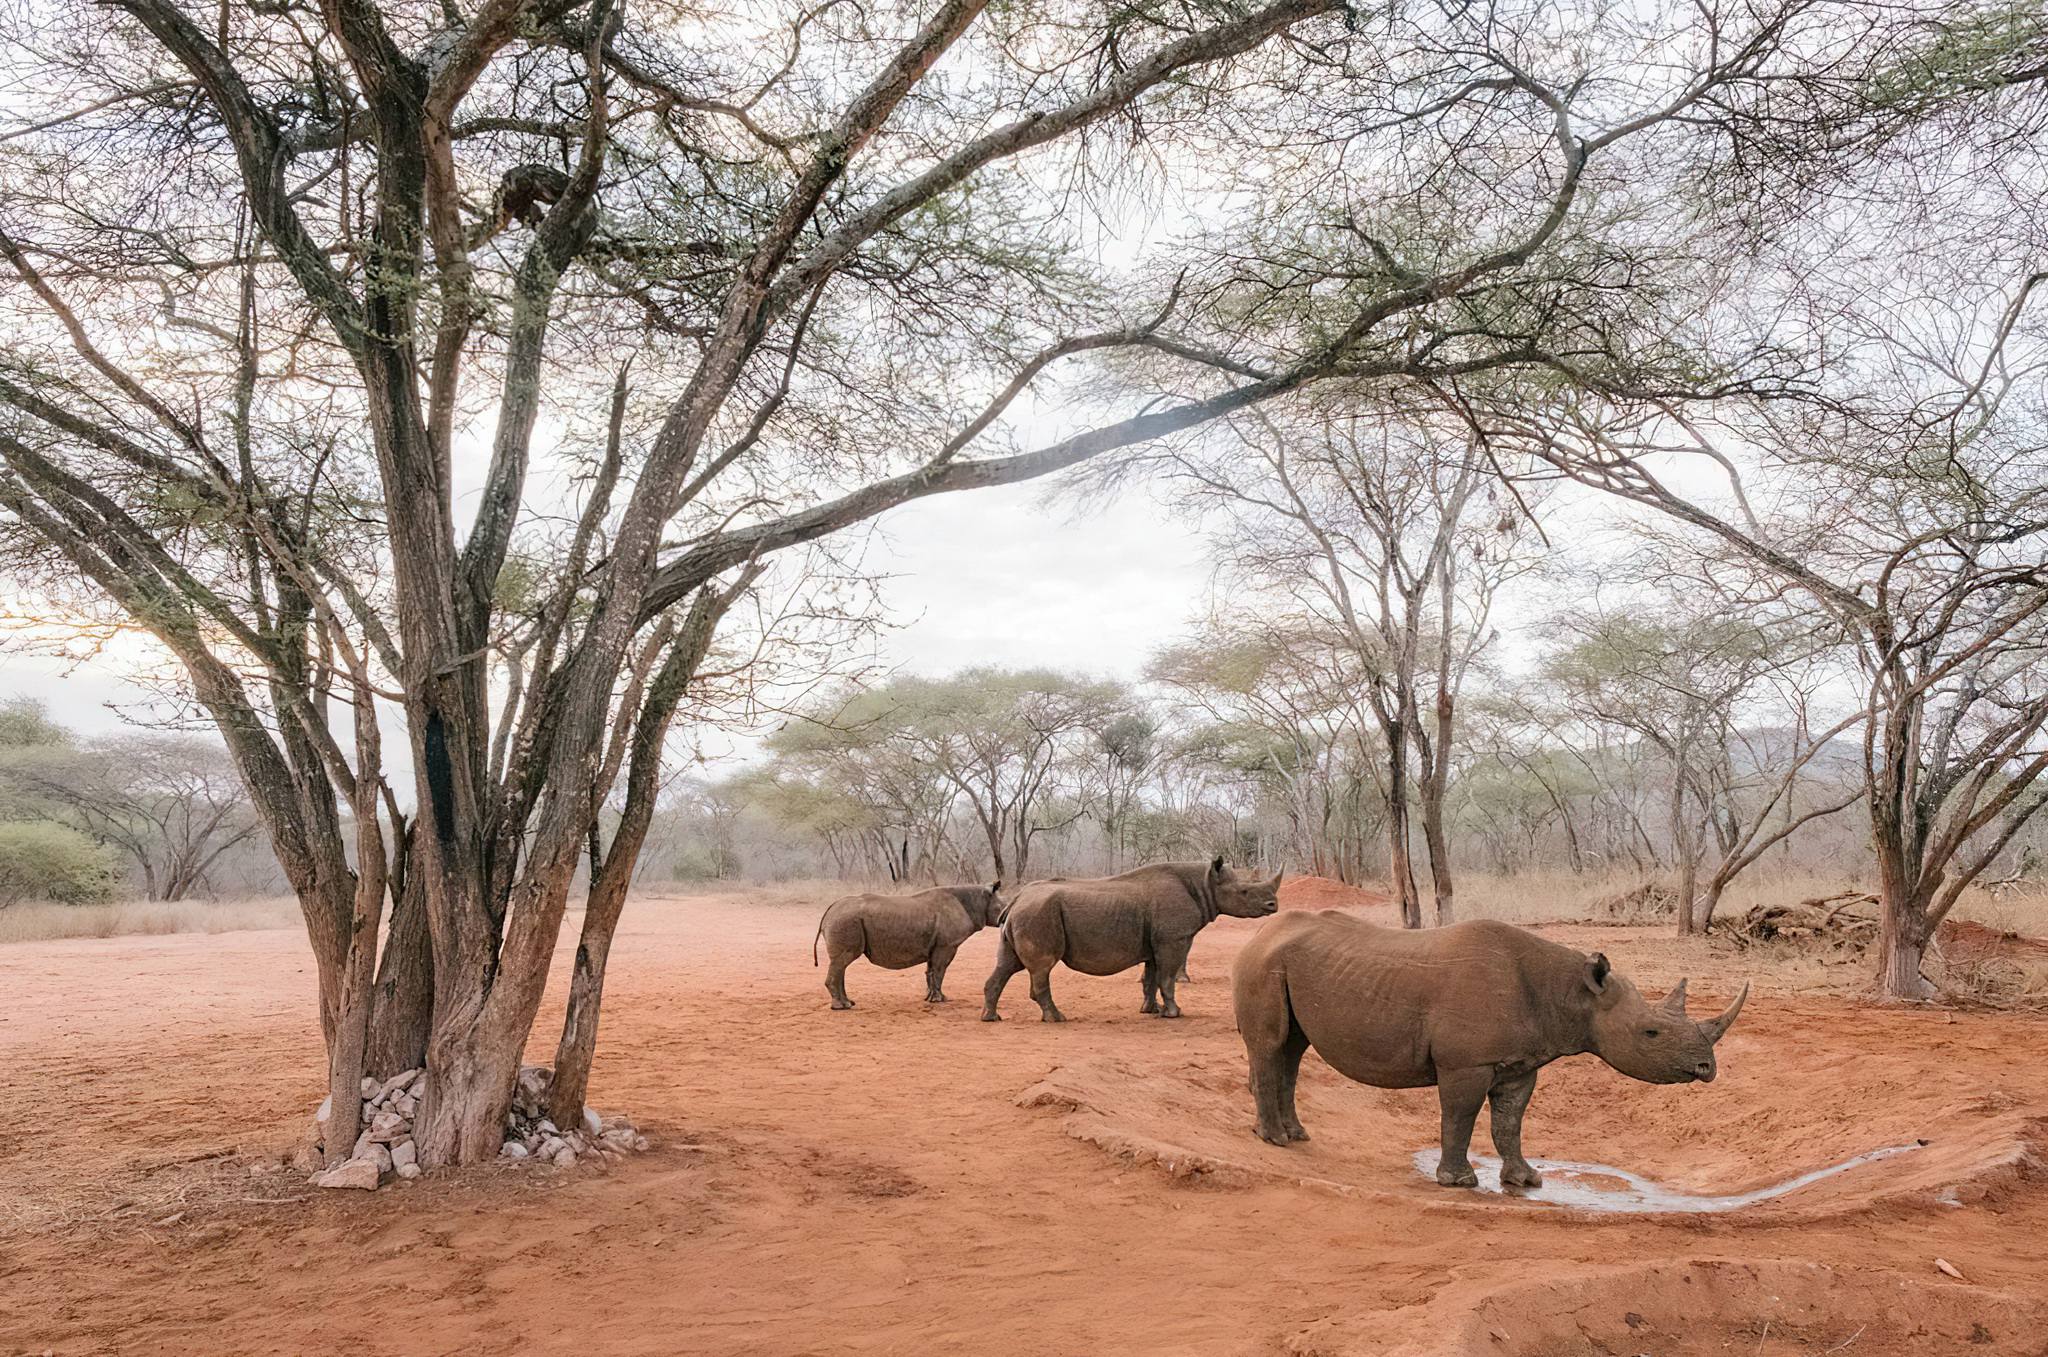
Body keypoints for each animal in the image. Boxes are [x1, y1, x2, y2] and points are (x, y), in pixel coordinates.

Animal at [814, 882, 1004, 1009]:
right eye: (1002, 907)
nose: (1005, 919)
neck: (977, 901)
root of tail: (830, 910)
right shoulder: (947, 945)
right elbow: (940, 970)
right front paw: (940, 1000)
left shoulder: (936, 945)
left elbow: (931, 971)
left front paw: (929, 998)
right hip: (846, 920)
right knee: (842, 961)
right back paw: (842, 1007)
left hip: (844, 919)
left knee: (840, 964)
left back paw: (849, 1003)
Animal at [982, 858, 1281, 1022]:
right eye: (1244, 892)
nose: (1273, 905)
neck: (1205, 884)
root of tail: (1017, 899)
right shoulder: (1174, 939)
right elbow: (1167, 977)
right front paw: (1174, 1013)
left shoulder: (1156, 942)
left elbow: (1151, 978)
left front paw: (1150, 1010)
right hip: (1038, 913)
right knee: (1042, 967)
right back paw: (1057, 1019)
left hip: (1027, 913)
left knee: (1007, 965)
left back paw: (992, 1017)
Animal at [1231, 911, 1747, 1188]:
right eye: (1650, 1033)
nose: (1706, 1068)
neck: (1572, 993)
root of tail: (1257, 934)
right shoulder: (1466, 1062)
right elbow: (1460, 1116)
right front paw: (1459, 1182)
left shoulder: (1521, 1062)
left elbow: (1509, 1122)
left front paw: (1526, 1180)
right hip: (1261, 964)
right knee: (1271, 1045)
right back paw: (1275, 1141)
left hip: (1285, 963)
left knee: (1292, 1049)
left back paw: (1296, 1135)